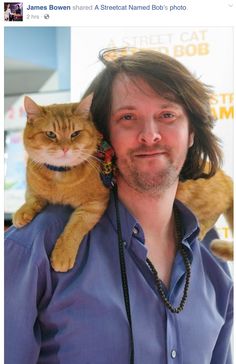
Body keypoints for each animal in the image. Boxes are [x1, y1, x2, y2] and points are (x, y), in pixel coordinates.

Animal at [12, 95, 109, 272]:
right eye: (50, 134)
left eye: (75, 133)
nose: (65, 148)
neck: (59, 174)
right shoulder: (32, 191)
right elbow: (32, 200)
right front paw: (23, 212)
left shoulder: (94, 204)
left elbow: (75, 227)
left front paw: (63, 253)